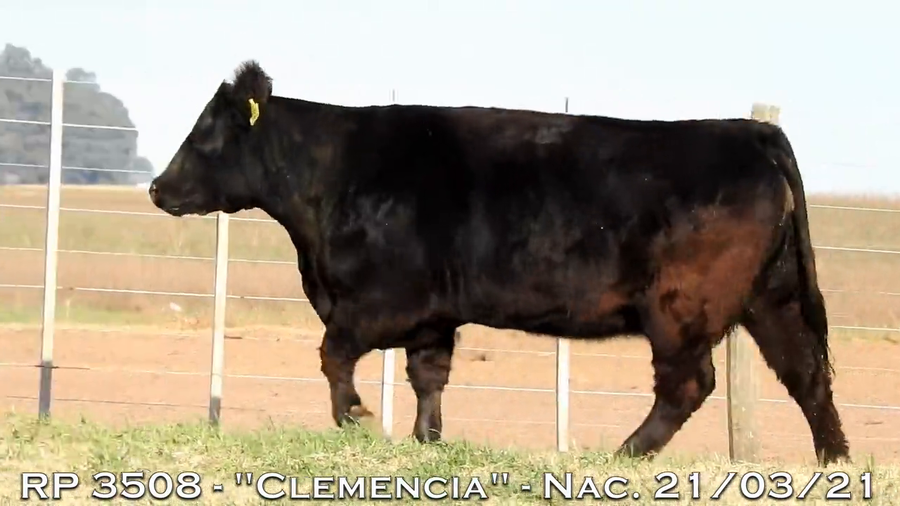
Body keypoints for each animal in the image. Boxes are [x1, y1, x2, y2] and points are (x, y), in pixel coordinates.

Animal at [148, 60, 850, 466]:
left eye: (205, 136)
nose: (157, 188)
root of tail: (745, 130)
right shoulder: (432, 315)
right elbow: (428, 377)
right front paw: (427, 441)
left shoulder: (381, 302)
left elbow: (333, 353)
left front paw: (355, 418)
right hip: (773, 297)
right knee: (807, 373)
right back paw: (833, 462)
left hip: (681, 308)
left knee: (689, 384)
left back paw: (623, 455)